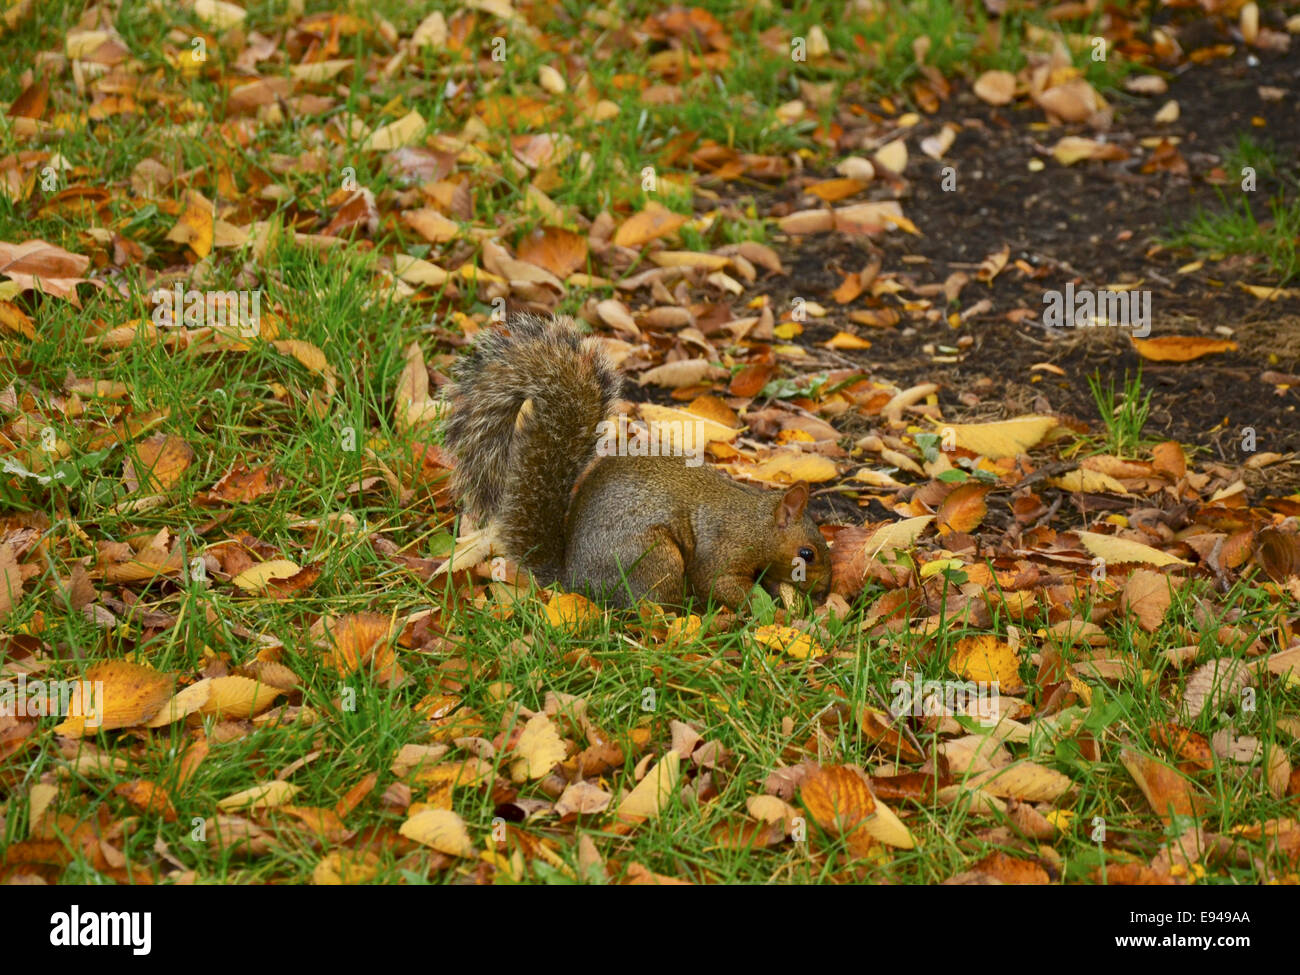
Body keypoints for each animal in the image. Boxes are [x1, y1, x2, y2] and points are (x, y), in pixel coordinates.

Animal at [444, 314, 832, 611]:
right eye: (808, 553)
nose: (826, 592)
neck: (756, 522)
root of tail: (574, 582)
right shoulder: (724, 549)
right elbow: (716, 583)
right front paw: (768, 609)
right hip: (654, 558)